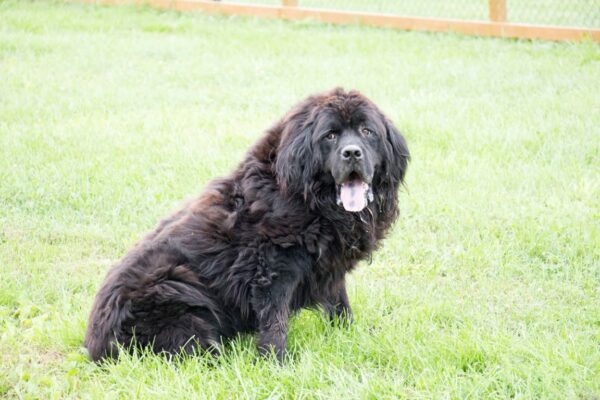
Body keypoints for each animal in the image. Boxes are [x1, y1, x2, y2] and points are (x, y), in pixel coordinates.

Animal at [84, 88, 410, 362]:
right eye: (329, 135)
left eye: (367, 132)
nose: (352, 152)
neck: (305, 195)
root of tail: (93, 346)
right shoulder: (273, 269)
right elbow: (275, 320)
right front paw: (276, 361)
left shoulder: (329, 264)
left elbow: (340, 304)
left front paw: (350, 335)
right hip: (175, 289)